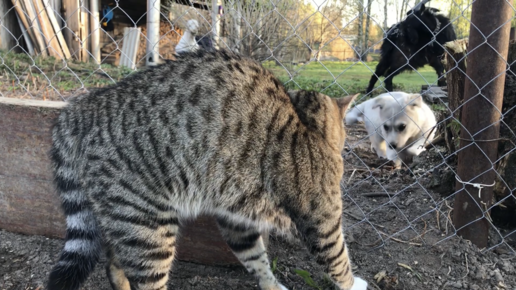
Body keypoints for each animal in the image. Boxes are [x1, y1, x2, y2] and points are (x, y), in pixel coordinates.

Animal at [45, 50, 366, 290]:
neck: (306, 124)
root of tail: (87, 104)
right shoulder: (322, 219)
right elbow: (338, 258)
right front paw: (352, 283)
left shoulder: (237, 220)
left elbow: (255, 258)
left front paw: (270, 284)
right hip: (147, 227)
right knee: (144, 276)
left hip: (127, 218)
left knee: (114, 261)